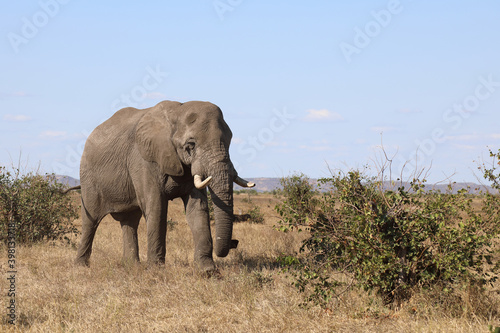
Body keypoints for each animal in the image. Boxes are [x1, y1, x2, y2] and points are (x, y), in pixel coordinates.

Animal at [73, 100, 254, 272]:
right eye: (191, 145)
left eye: (229, 141)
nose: (235, 242)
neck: (178, 112)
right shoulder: (143, 159)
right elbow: (156, 207)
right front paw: (156, 270)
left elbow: (198, 208)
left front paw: (207, 270)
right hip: (89, 178)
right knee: (91, 221)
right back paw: (81, 266)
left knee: (130, 221)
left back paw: (132, 266)